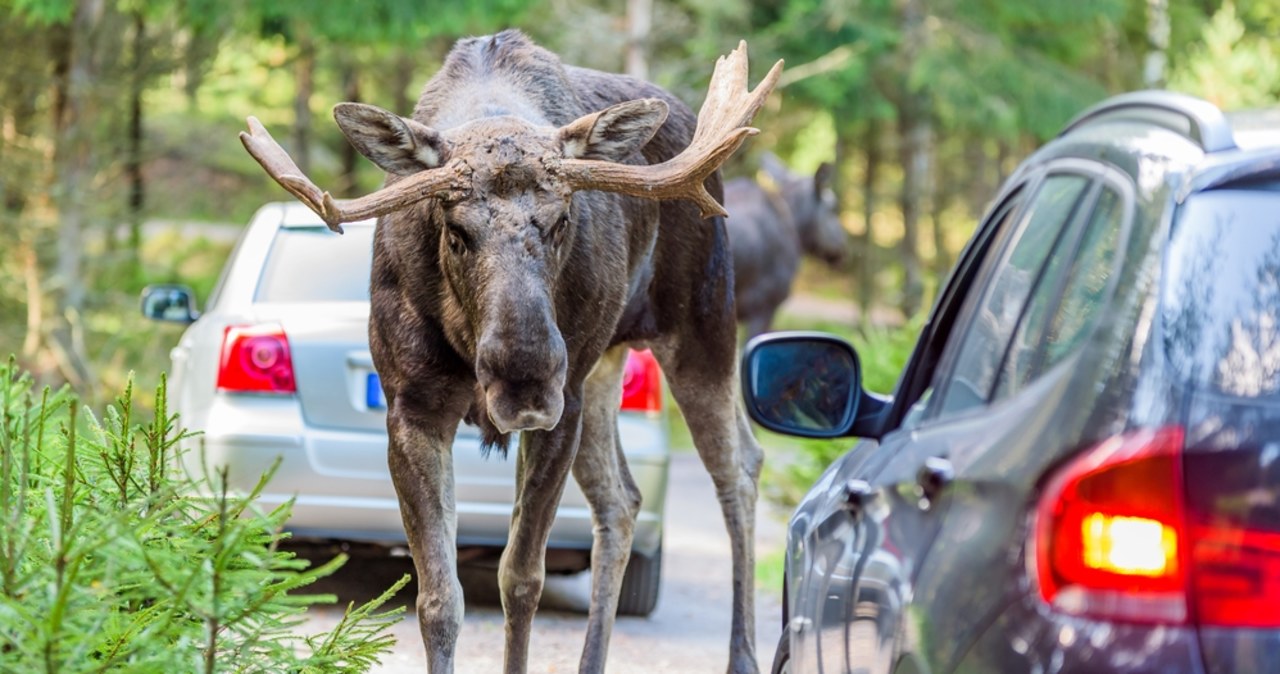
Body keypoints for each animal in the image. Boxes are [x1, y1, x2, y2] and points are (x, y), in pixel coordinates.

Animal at [240, 30, 778, 674]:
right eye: (455, 230)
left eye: (562, 220)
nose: (524, 376)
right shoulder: (413, 409)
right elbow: (438, 599)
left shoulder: (559, 409)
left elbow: (521, 580)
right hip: (602, 369)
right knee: (621, 501)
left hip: (699, 328)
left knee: (739, 468)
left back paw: (744, 655)